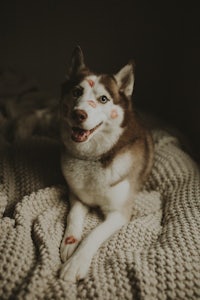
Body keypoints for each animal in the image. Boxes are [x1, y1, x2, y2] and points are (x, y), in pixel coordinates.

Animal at [59, 46, 153, 282]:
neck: (93, 158)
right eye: (77, 92)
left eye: (103, 99)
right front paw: (69, 243)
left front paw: (76, 263)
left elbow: (93, 234)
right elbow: (73, 215)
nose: (78, 114)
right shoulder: (77, 196)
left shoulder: (119, 212)